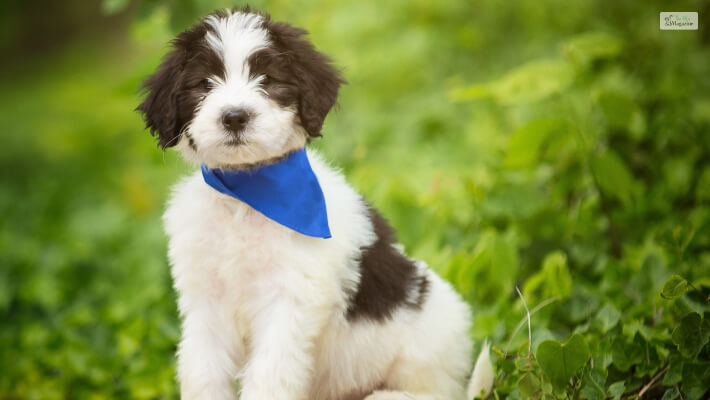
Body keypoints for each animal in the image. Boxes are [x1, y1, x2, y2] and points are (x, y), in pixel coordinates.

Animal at [139, 6, 496, 400]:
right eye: (204, 84)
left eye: (268, 79)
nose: (234, 116)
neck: (247, 193)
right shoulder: (205, 300)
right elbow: (202, 371)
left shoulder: (288, 301)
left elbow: (269, 375)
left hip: (426, 344)